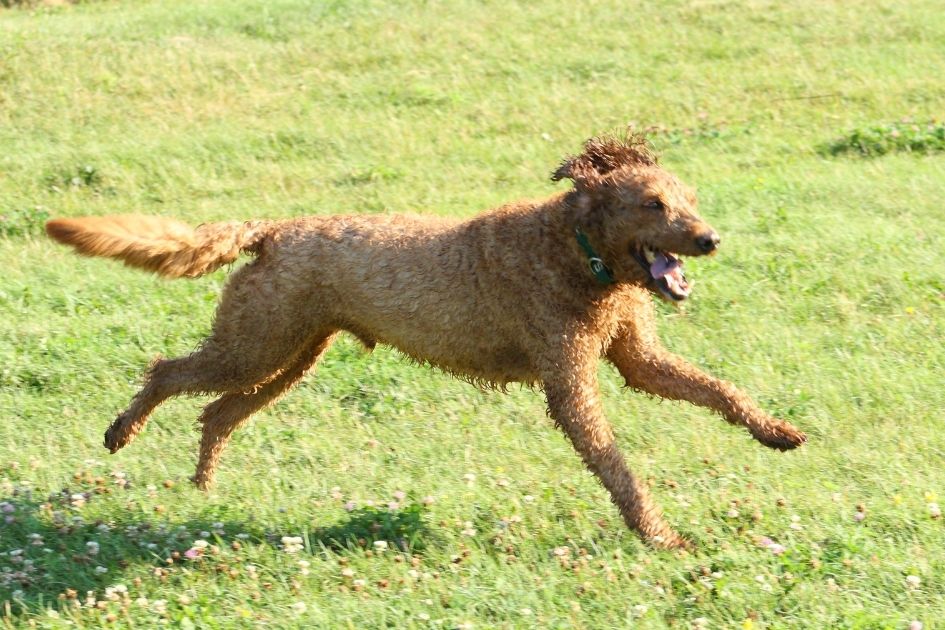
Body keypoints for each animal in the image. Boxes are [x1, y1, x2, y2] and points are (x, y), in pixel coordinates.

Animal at [46, 137, 804, 548]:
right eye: (653, 203)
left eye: (690, 199)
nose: (710, 239)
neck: (577, 251)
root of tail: (276, 230)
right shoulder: (569, 384)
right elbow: (617, 467)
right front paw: (658, 534)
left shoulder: (637, 361)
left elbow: (719, 389)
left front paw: (776, 432)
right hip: (256, 343)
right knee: (167, 371)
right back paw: (121, 432)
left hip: (290, 352)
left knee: (217, 412)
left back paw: (203, 485)